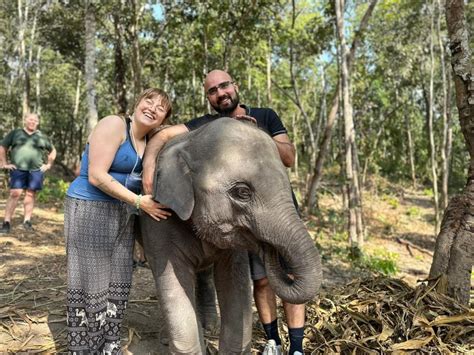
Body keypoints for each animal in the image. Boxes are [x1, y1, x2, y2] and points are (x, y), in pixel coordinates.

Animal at [139, 117, 320, 355]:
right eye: (242, 192)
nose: (269, 248)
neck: (189, 141)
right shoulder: (157, 217)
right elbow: (172, 281)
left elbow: (236, 284)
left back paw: (209, 327)